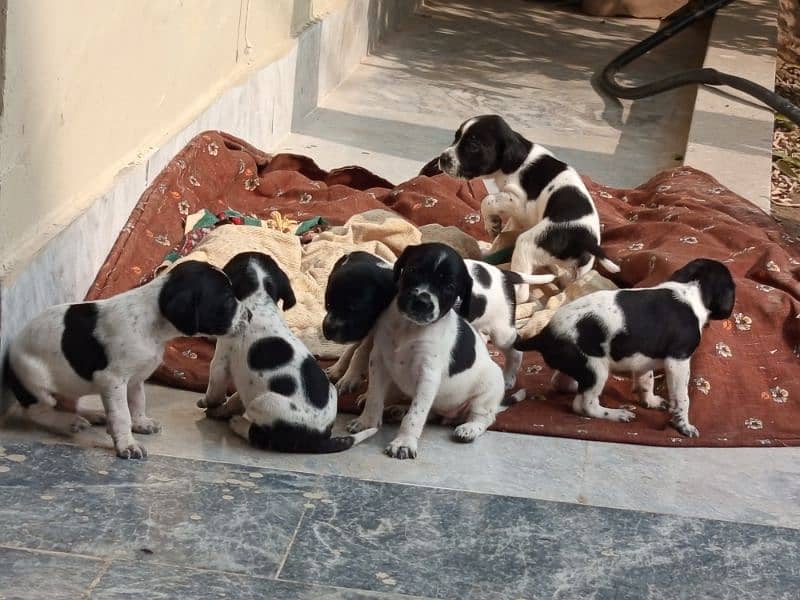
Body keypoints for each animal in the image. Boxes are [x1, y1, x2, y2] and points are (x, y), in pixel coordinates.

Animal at [3, 262, 250, 460]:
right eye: (228, 300)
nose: (249, 315)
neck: (153, 324)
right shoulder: (113, 380)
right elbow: (121, 414)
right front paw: (126, 444)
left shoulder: (135, 379)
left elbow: (137, 402)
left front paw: (140, 423)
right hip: (36, 380)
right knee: (38, 412)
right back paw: (67, 421)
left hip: (72, 382)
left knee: (71, 402)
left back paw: (92, 414)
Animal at [198, 251, 376, 452]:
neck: (259, 300)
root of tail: (319, 438)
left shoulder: (220, 362)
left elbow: (214, 390)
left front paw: (209, 403)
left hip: (263, 403)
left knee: (259, 436)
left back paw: (237, 423)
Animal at [438, 113, 620, 302]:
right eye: (456, 137)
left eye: (473, 146)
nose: (442, 159)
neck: (519, 159)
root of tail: (586, 240)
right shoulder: (517, 215)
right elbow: (504, 230)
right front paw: (491, 241)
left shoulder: (517, 201)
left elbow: (487, 201)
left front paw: (492, 224)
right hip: (579, 269)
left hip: (527, 244)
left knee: (523, 290)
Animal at [516, 258, 736, 436]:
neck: (691, 289)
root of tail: (545, 334)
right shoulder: (678, 361)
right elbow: (683, 398)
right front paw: (684, 426)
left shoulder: (643, 358)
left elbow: (646, 382)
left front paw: (650, 402)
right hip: (596, 370)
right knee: (585, 405)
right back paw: (617, 414)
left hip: (580, 366)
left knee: (561, 383)